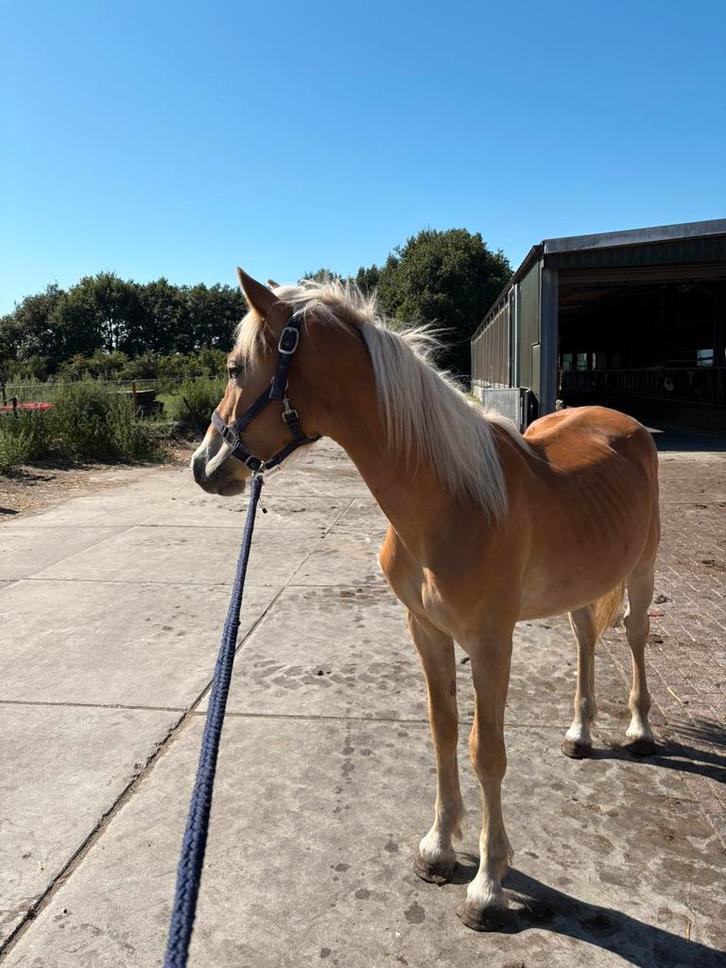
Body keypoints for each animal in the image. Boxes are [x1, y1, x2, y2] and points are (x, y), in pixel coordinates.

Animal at [191, 269, 661, 930]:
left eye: (235, 368)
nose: (203, 465)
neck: (451, 499)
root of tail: (625, 424)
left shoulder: (491, 643)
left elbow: (486, 750)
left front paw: (488, 884)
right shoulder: (427, 631)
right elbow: (443, 732)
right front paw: (439, 848)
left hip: (642, 570)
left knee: (637, 637)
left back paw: (639, 729)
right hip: (583, 581)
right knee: (584, 638)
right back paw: (579, 733)